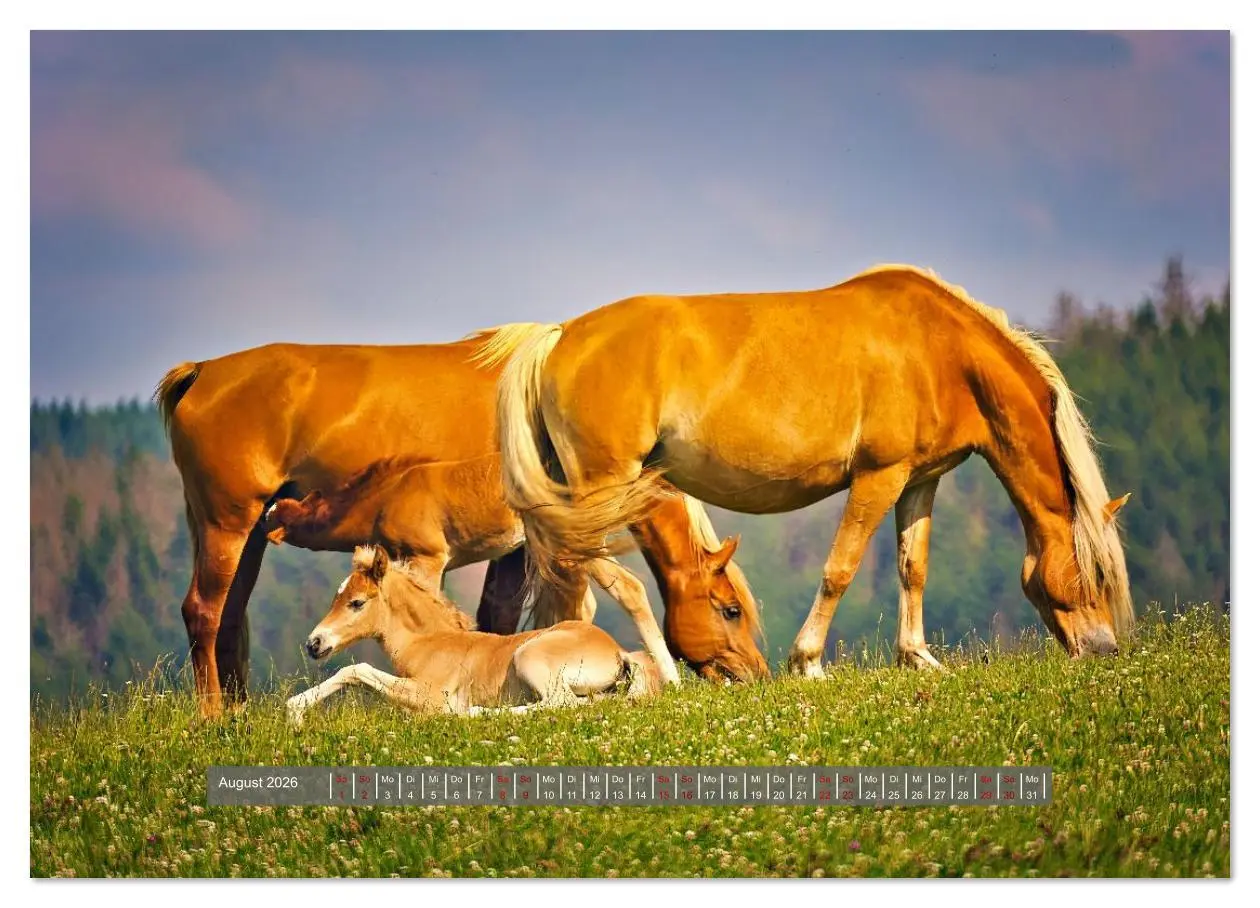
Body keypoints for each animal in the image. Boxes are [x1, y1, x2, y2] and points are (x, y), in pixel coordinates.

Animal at [285, 545, 662, 723]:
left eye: (357, 602)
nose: (314, 643)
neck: (430, 643)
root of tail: (616, 651)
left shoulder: (429, 695)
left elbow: (356, 670)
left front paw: (295, 712)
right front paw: (296, 710)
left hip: (529, 657)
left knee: (561, 703)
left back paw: (474, 712)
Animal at [479, 264, 1135, 676]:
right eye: (1095, 576)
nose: (1103, 651)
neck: (938, 348)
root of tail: (559, 336)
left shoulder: (919, 480)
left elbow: (913, 567)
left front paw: (918, 658)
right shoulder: (879, 477)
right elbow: (840, 568)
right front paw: (809, 661)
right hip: (602, 489)